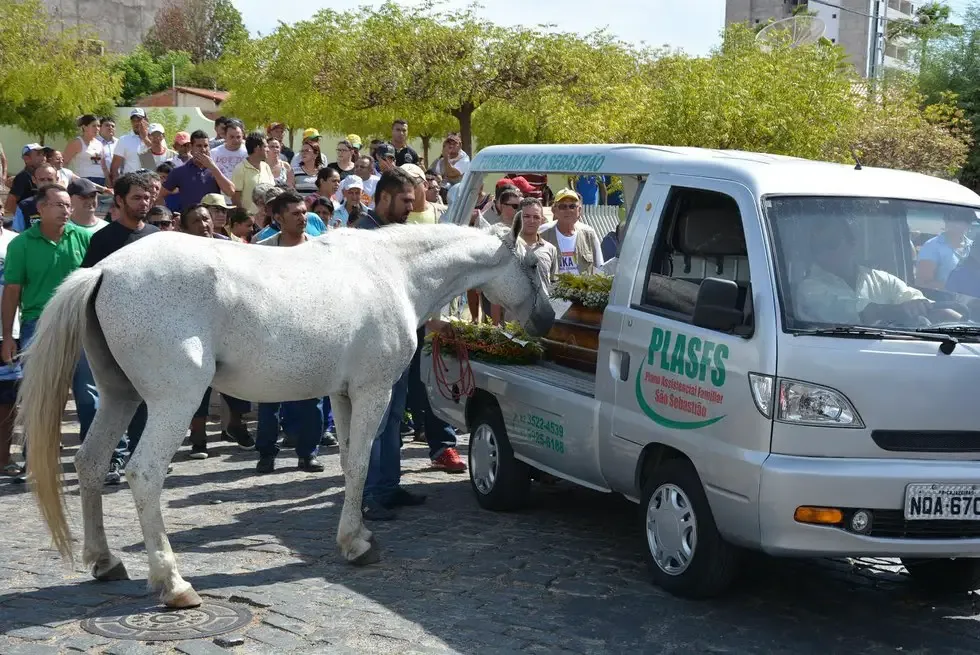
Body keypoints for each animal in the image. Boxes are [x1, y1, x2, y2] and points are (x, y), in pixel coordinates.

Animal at [21, 220, 552, 608]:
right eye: (531, 263)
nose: (547, 319)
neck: (393, 273)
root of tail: (104, 271)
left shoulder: (342, 396)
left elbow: (348, 465)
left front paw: (357, 534)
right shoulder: (373, 392)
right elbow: (362, 464)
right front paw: (357, 546)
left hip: (120, 397)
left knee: (90, 464)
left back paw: (104, 561)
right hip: (173, 403)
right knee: (144, 474)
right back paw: (173, 583)